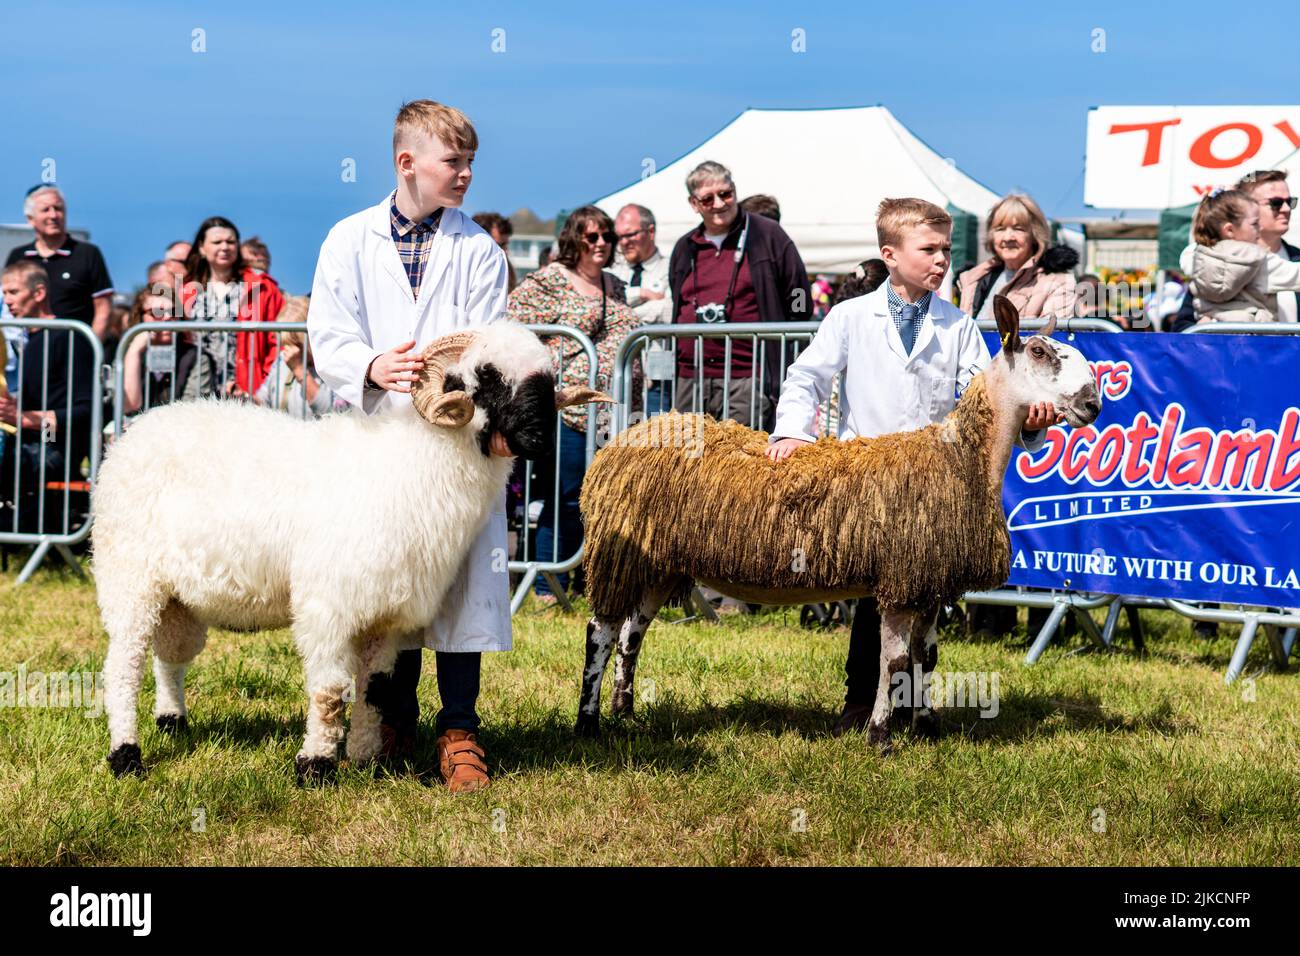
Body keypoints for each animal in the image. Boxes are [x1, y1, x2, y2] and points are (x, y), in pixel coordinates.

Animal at [94, 322, 610, 782]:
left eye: (546, 377)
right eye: (488, 375)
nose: (542, 440)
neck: (417, 462)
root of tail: (138, 429)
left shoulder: (387, 616)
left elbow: (376, 691)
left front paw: (367, 760)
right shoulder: (327, 609)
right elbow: (328, 692)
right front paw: (315, 766)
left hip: (180, 599)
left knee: (170, 655)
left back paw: (172, 721)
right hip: (129, 579)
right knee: (123, 667)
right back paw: (126, 757)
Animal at [576, 298, 1102, 752]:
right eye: (1039, 352)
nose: (1093, 403)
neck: (961, 458)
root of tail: (633, 432)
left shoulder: (931, 578)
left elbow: (926, 657)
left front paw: (928, 728)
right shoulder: (902, 579)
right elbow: (894, 661)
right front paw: (881, 738)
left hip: (657, 560)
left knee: (633, 632)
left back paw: (625, 713)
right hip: (619, 551)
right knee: (601, 630)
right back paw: (589, 722)